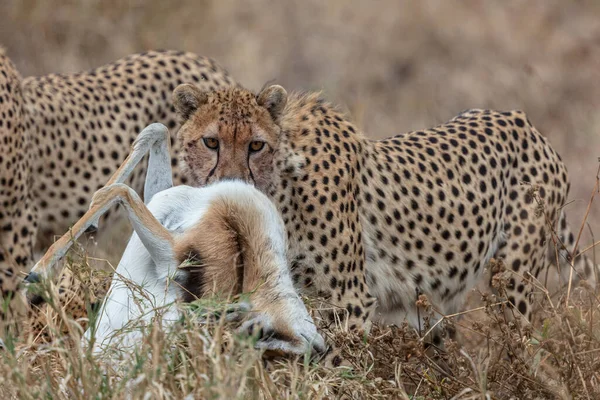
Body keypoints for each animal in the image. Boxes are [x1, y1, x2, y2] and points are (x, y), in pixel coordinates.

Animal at [171, 84, 596, 350]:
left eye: (256, 145)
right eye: (211, 142)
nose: (231, 182)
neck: (281, 184)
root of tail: (523, 121)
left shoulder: (351, 301)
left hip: (513, 281)